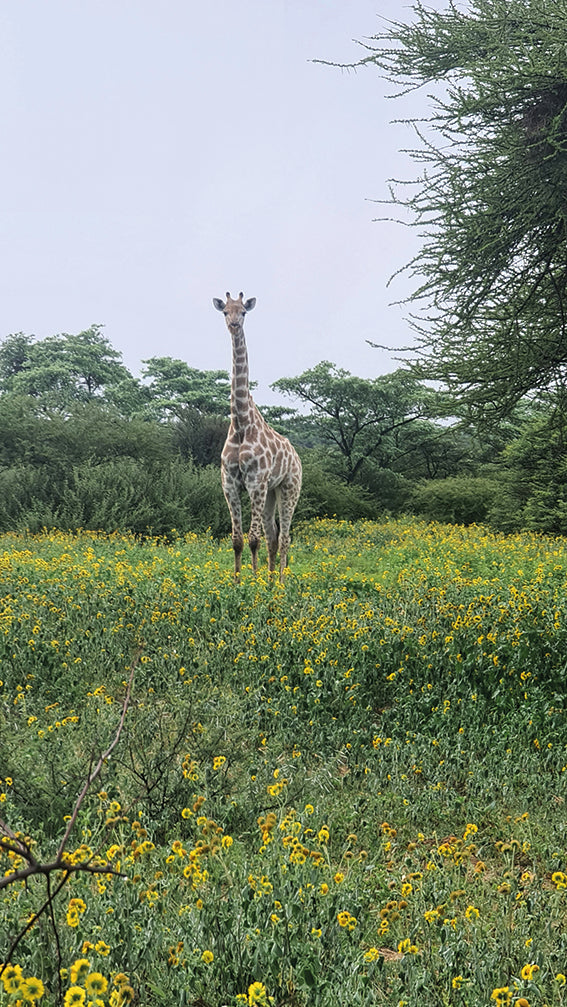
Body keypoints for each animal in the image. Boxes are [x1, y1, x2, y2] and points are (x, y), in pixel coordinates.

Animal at [211, 290, 302, 584]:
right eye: (225, 311)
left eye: (243, 312)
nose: (234, 325)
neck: (240, 423)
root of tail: (297, 456)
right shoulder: (229, 482)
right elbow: (237, 540)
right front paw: (238, 582)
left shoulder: (255, 482)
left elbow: (253, 539)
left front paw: (253, 583)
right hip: (272, 491)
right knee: (273, 535)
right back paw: (271, 580)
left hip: (289, 487)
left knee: (284, 537)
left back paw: (281, 582)